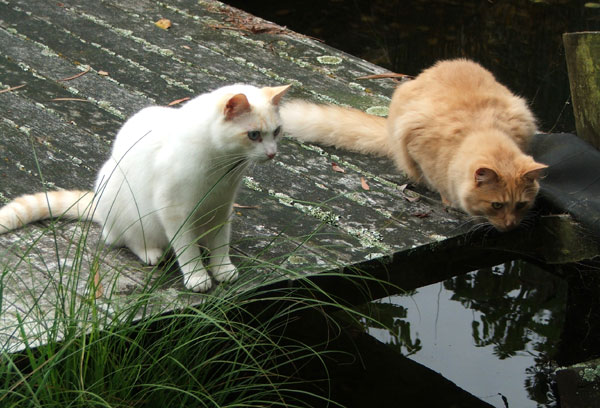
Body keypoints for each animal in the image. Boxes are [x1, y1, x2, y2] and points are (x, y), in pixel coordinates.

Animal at [0, 84, 290, 292]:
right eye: (254, 135)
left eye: (276, 131)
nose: (272, 153)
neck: (221, 165)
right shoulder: (173, 209)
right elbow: (186, 249)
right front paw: (197, 276)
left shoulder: (221, 206)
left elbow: (221, 241)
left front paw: (221, 268)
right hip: (125, 205)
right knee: (121, 238)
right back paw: (151, 252)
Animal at [282, 57, 548, 231]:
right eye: (497, 205)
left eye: (521, 205)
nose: (511, 225)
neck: (480, 129)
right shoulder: (418, 145)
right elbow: (437, 181)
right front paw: (448, 199)